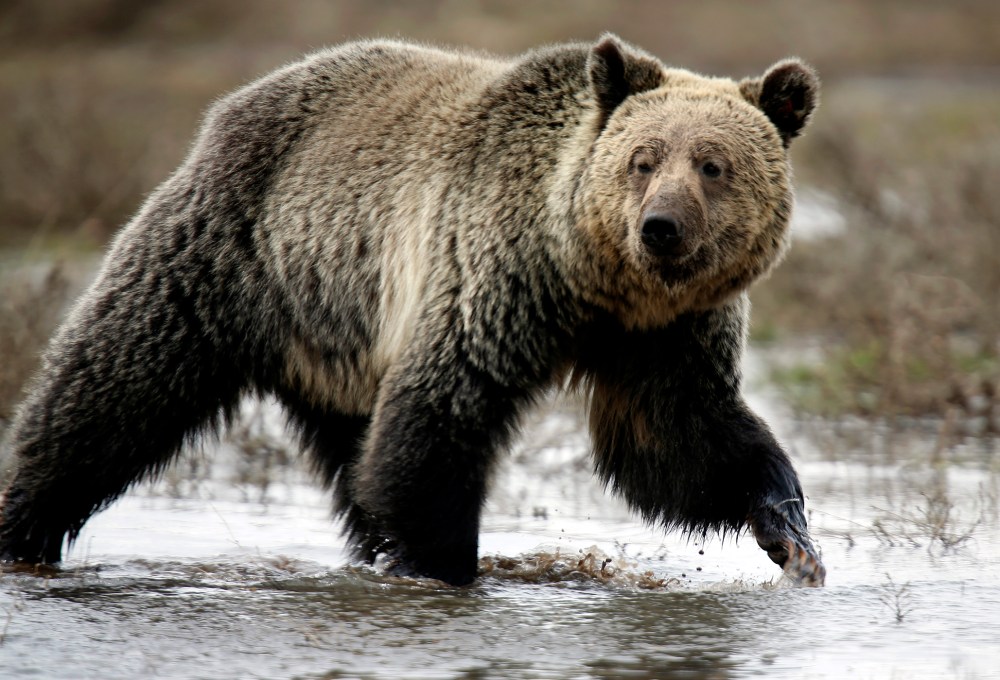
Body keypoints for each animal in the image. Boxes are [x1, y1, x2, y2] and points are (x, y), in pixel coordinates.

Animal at [0, 35, 824, 587]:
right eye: (643, 159)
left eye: (713, 165)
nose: (660, 227)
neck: (595, 281)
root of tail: (234, 103)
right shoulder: (493, 275)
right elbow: (440, 416)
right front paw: (444, 564)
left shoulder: (664, 335)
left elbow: (678, 441)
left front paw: (790, 530)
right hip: (231, 255)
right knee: (113, 389)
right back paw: (23, 526)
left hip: (337, 336)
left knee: (353, 455)